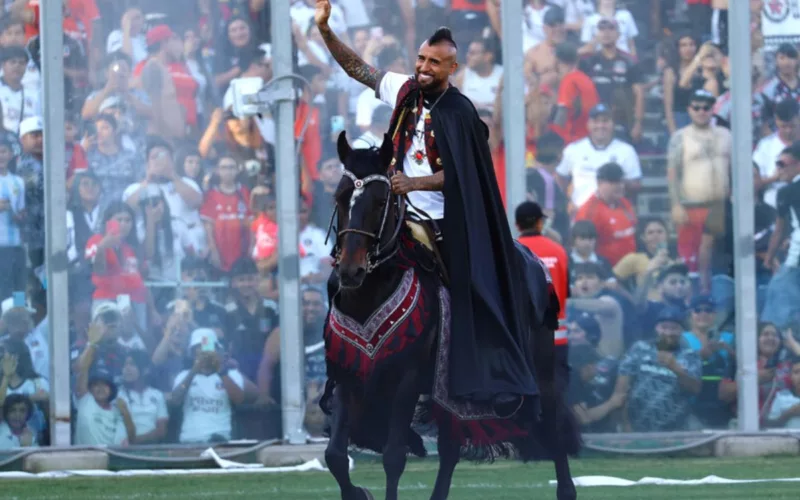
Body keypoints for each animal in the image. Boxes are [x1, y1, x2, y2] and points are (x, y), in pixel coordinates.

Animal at [322, 131, 580, 498]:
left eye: (381, 201)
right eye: (340, 197)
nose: (350, 271)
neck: (372, 293)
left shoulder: (407, 378)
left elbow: (393, 456)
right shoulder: (348, 375)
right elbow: (335, 455)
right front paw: (358, 492)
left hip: (540, 366)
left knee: (554, 426)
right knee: (450, 448)